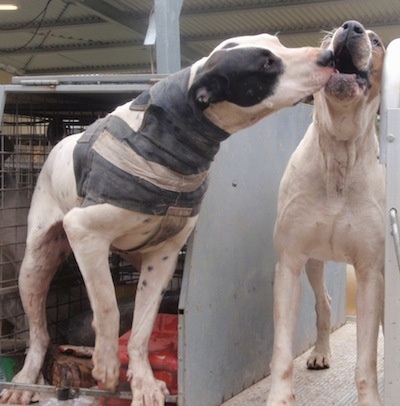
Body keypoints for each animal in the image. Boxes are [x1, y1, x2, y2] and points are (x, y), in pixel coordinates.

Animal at [0, 35, 334, 406]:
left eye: (277, 43)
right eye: (266, 64)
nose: (329, 55)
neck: (169, 139)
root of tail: (58, 144)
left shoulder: (163, 257)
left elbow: (142, 326)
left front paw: (143, 381)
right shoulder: (84, 231)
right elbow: (108, 308)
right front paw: (107, 365)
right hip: (34, 265)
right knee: (39, 332)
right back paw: (26, 379)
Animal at [268, 20, 386, 404]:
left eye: (377, 42)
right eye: (327, 38)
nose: (352, 28)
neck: (339, 153)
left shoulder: (370, 272)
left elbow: (366, 356)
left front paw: (371, 398)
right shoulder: (290, 263)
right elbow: (282, 349)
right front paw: (279, 396)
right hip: (315, 262)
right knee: (324, 303)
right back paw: (320, 352)